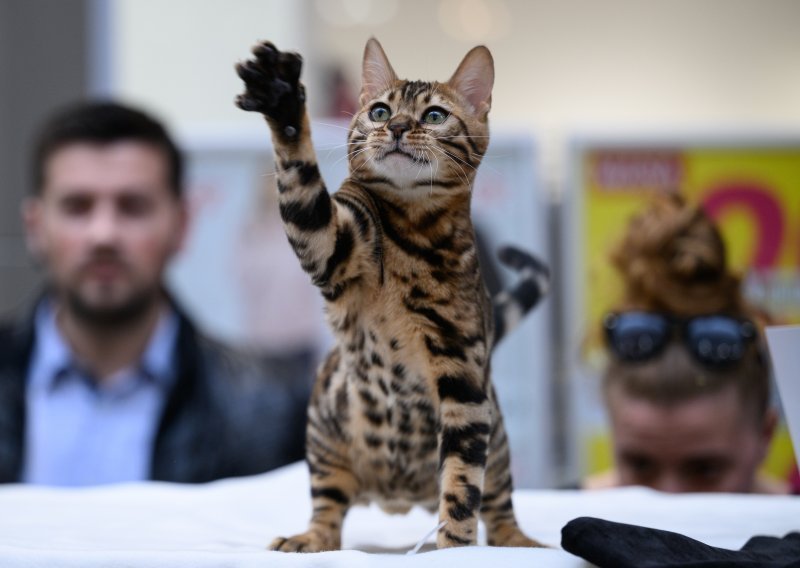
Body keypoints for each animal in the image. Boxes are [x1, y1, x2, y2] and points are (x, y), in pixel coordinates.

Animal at [236, 38, 552, 552]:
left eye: (435, 115)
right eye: (380, 111)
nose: (398, 126)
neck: (414, 233)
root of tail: (397, 498)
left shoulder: (464, 379)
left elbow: (462, 483)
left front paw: (455, 549)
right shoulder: (330, 245)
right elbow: (301, 183)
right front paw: (281, 98)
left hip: (499, 441)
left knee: (499, 501)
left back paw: (518, 541)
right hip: (325, 440)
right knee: (328, 509)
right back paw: (309, 538)